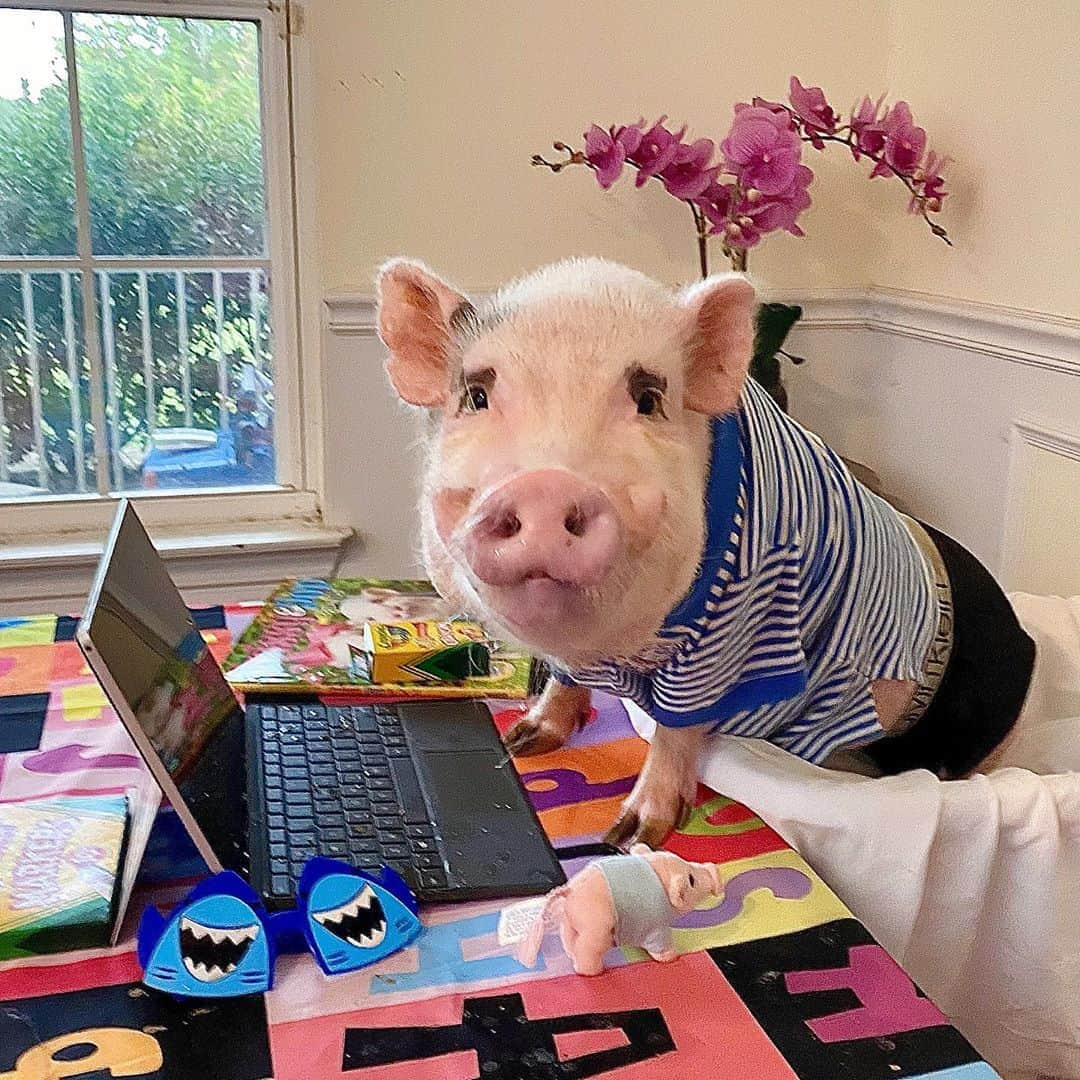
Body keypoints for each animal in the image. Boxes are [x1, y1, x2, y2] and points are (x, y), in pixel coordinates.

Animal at [373, 257, 1036, 846]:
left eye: (648, 398)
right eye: (475, 395)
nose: (544, 484)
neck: (616, 651)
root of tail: (1028, 640)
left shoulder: (739, 622)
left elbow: (677, 725)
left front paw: (631, 836)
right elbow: (562, 681)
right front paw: (523, 743)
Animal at [516, 842, 725, 980]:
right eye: (691, 880)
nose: (714, 869)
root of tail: (570, 891)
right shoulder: (657, 927)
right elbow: (660, 946)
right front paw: (672, 957)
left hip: (569, 924)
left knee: (570, 942)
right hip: (596, 929)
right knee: (587, 949)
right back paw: (594, 971)